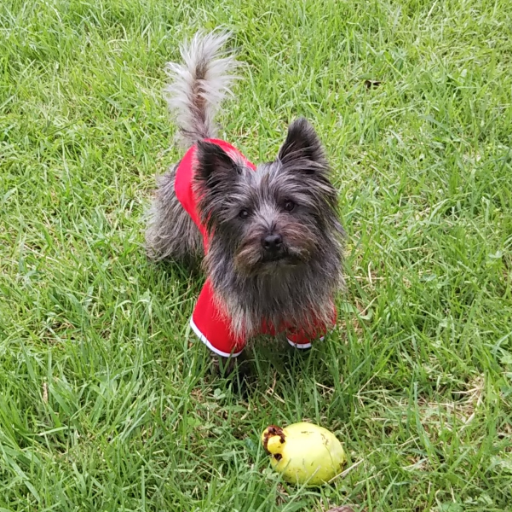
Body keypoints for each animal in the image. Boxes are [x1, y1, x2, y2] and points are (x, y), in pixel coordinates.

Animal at [145, 30, 344, 364]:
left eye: (289, 205)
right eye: (243, 214)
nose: (272, 240)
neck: (273, 277)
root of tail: (203, 140)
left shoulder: (309, 320)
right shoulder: (218, 323)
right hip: (172, 225)